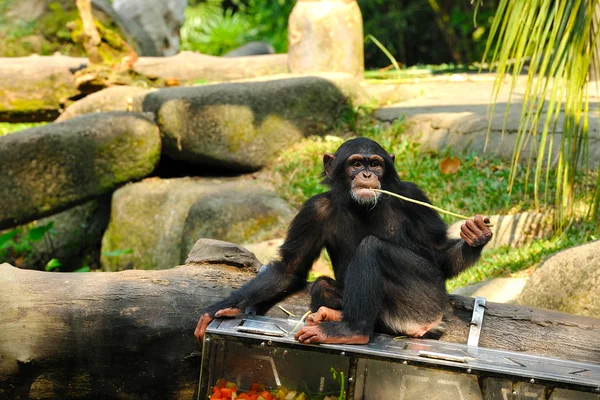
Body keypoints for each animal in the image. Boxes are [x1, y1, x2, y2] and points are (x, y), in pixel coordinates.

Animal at [195, 138, 490, 344]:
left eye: (376, 164)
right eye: (356, 164)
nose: (368, 175)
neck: (359, 205)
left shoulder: (413, 196)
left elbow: (438, 252)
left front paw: (475, 235)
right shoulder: (312, 211)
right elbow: (290, 267)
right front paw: (222, 308)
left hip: (425, 301)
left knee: (373, 248)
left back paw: (351, 330)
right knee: (322, 286)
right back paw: (331, 315)